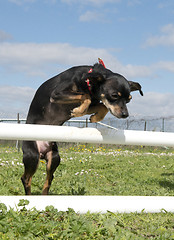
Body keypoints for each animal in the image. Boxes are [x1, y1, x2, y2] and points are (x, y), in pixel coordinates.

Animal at [21, 61, 143, 194]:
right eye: (114, 95)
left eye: (129, 100)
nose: (125, 114)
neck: (88, 81)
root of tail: (41, 152)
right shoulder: (57, 94)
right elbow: (86, 96)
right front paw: (78, 111)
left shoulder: (93, 102)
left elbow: (102, 106)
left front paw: (93, 117)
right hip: (33, 155)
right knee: (26, 178)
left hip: (54, 157)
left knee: (48, 179)